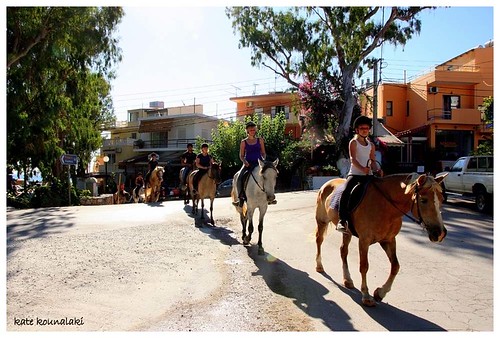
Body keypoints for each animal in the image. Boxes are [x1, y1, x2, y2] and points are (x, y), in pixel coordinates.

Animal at [314, 173, 448, 308]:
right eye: (423, 200)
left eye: (442, 199)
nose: (440, 234)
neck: (385, 207)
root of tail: (328, 183)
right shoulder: (364, 241)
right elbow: (364, 266)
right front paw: (366, 296)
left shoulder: (389, 240)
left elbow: (395, 266)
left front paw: (380, 293)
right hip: (322, 221)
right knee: (319, 241)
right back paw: (319, 266)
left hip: (347, 232)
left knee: (343, 251)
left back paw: (348, 280)